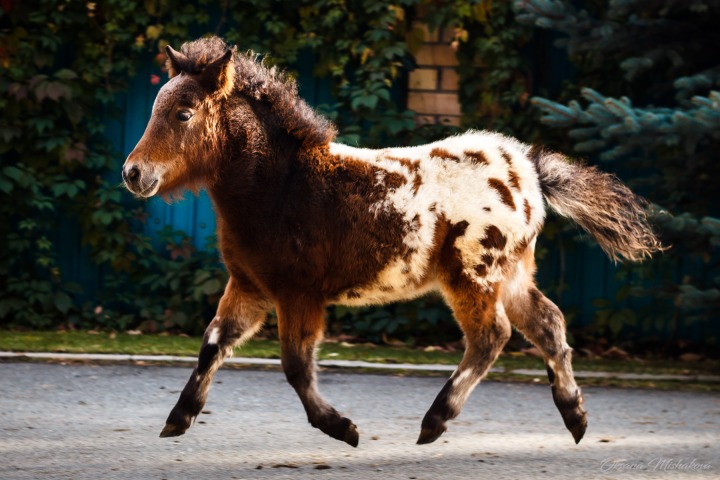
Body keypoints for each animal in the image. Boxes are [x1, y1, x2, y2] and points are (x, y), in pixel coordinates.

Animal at [121, 36, 660, 446]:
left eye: (184, 114)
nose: (133, 173)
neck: (281, 185)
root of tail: (528, 167)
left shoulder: (298, 293)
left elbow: (296, 365)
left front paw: (342, 428)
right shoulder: (251, 287)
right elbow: (213, 344)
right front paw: (178, 419)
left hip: (473, 274)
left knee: (492, 336)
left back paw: (435, 421)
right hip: (511, 273)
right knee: (548, 324)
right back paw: (575, 416)